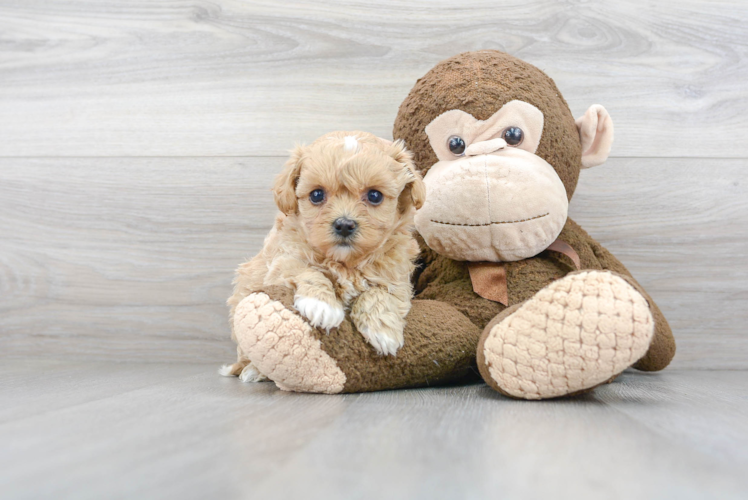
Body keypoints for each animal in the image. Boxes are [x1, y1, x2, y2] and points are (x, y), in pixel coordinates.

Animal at [219, 130, 424, 382]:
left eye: (375, 195)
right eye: (317, 195)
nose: (344, 224)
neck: (345, 263)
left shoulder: (397, 277)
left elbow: (379, 292)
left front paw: (383, 330)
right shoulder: (283, 261)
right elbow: (309, 271)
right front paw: (322, 305)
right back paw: (252, 370)